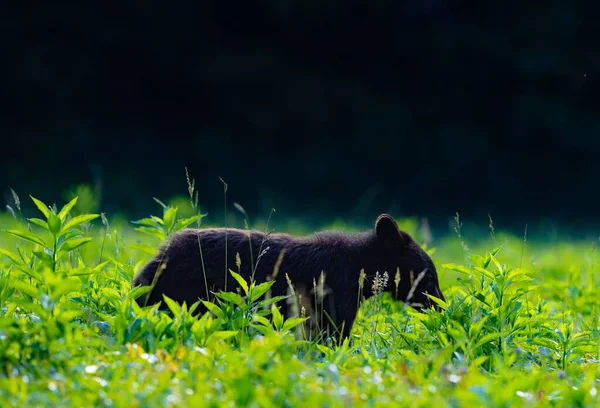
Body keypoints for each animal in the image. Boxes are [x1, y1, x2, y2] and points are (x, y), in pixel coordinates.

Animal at [134, 214, 442, 338]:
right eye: (429, 278)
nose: (442, 305)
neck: (360, 270)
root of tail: (159, 256)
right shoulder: (334, 293)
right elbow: (333, 333)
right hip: (183, 294)